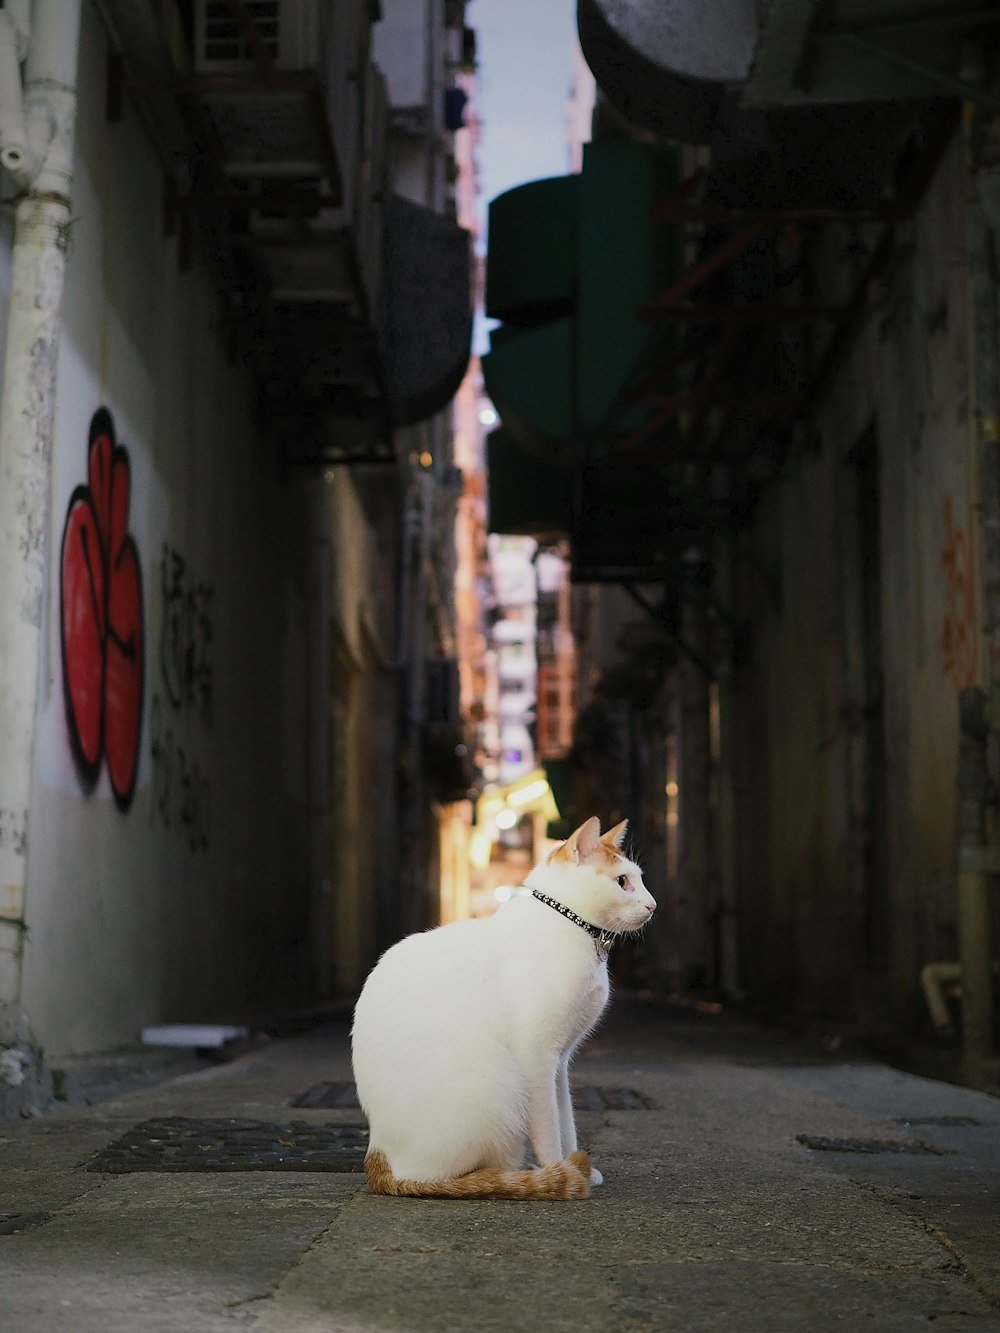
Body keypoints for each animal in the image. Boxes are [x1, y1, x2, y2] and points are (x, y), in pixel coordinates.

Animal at [352, 815, 658, 1205]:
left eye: (640, 879)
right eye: (622, 882)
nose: (653, 905)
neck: (572, 927)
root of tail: (379, 1158)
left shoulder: (561, 1061)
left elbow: (566, 1119)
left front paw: (574, 1165)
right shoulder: (536, 1056)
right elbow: (547, 1126)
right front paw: (558, 1168)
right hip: (500, 1079)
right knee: (454, 1175)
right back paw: (519, 1176)